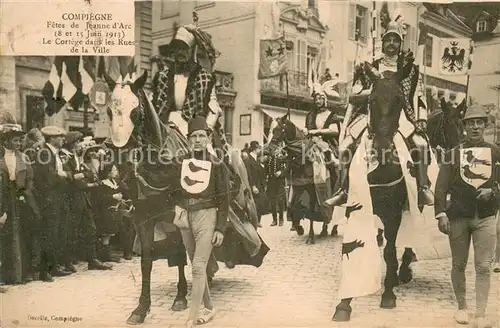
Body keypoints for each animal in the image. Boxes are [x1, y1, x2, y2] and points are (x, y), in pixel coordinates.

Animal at [101, 70, 189, 324]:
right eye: (109, 111)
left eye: (135, 112)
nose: (119, 154)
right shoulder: (143, 216)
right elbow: (146, 260)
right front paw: (141, 308)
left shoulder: (176, 214)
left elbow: (181, 250)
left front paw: (181, 296)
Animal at [268, 116, 334, 245]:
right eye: (270, 129)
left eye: (278, 129)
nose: (271, 149)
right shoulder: (298, 187)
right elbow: (291, 207)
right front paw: (299, 228)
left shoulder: (313, 192)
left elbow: (312, 212)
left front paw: (310, 236)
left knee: (328, 208)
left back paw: (325, 229)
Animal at [332, 61, 426, 320]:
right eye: (372, 100)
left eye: (398, 99)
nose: (382, 147)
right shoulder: (356, 206)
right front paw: (344, 303)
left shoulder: (393, 213)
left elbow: (390, 252)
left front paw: (388, 294)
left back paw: (402, 272)